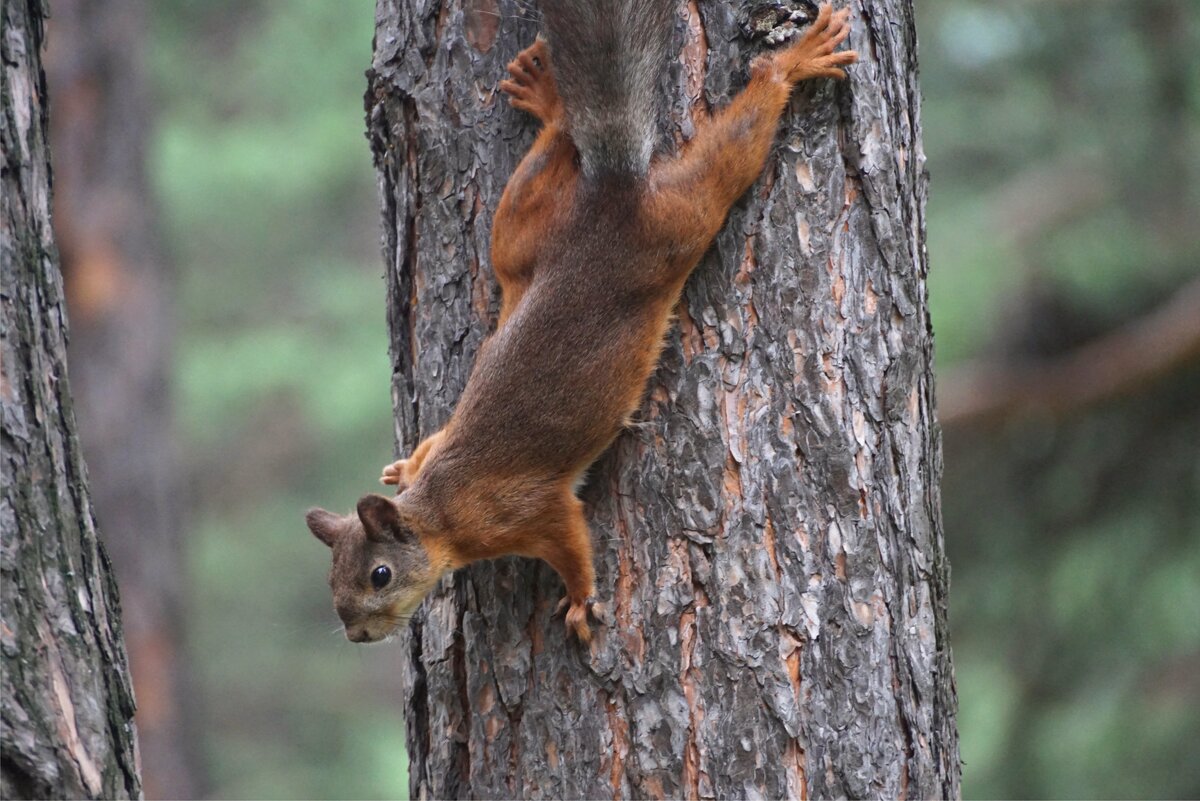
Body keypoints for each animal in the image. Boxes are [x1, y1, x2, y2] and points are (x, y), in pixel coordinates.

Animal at [304, 0, 859, 637]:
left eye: (380, 575)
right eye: (332, 582)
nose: (358, 634)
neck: (441, 509)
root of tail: (612, 192)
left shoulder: (531, 510)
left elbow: (569, 541)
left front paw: (579, 599)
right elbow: (430, 445)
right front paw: (403, 465)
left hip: (682, 219)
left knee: (734, 148)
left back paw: (792, 64)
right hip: (522, 236)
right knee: (548, 158)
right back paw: (546, 98)